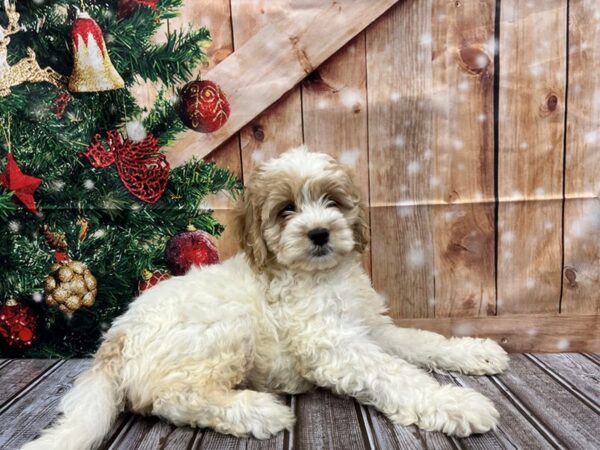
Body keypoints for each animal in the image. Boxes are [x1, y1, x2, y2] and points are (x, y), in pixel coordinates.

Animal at [22, 148, 506, 450]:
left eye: (332, 202)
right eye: (286, 210)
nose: (319, 233)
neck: (320, 276)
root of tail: (115, 339)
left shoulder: (371, 329)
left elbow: (422, 342)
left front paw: (476, 352)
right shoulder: (335, 345)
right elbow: (397, 374)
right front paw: (458, 405)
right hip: (223, 329)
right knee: (172, 398)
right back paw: (256, 411)